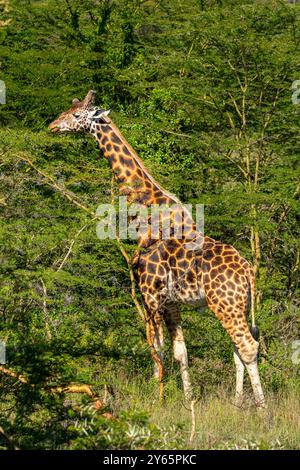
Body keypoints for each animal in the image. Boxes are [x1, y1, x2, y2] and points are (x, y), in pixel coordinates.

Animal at [49, 91, 268, 408]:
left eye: (77, 115)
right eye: (68, 109)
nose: (53, 126)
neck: (146, 209)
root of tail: (249, 272)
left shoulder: (150, 295)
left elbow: (156, 348)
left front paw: (157, 400)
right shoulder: (171, 302)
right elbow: (180, 351)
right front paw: (189, 401)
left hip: (225, 304)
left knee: (248, 346)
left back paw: (262, 408)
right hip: (240, 305)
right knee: (238, 348)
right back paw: (238, 403)